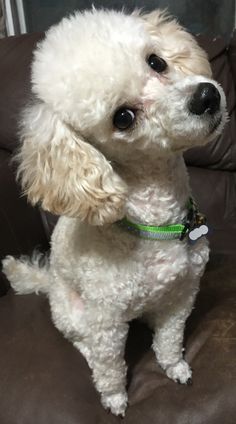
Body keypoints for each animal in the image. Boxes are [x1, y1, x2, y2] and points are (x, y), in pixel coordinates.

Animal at [2, 8, 227, 416]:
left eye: (156, 61)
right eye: (123, 118)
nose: (206, 97)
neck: (157, 224)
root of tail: (48, 282)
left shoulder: (182, 295)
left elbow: (169, 339)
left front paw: (175, 367)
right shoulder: (106, 321)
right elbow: (110, 365)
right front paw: (115, 398)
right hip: (75, 314)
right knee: (82, 342)